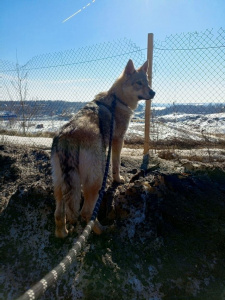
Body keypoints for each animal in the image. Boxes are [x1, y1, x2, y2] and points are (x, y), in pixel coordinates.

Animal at [51, 59, 155, 238]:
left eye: (147, 83)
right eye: (139, 83)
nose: (153, 92)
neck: (117, 99)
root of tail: (68, 136)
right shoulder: (118, 141)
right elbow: (116, 164)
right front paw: (118, 180)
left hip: (59, 184)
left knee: (59, 213)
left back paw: (63, 233)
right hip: (96, 180)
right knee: (86, 213)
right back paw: (102, 230)